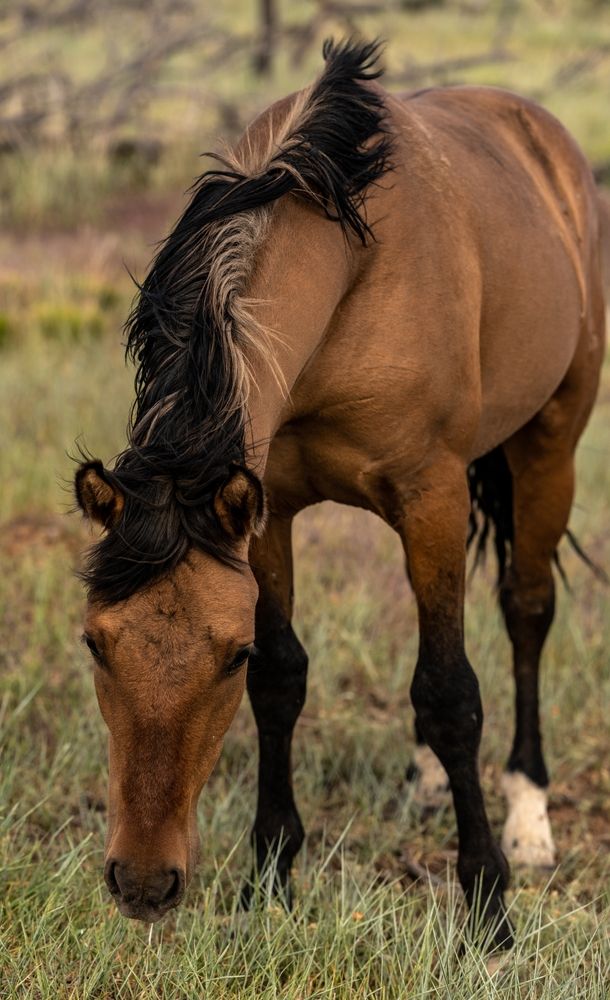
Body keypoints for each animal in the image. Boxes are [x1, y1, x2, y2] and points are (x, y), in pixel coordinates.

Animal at [74, 40, 606, 951]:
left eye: (226, 655)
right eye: (95, 643)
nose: (143, 882)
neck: (354, 268)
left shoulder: (430, 495)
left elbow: (451, 694)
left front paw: (488, 903)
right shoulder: (268, 511)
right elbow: (287, 679)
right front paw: (268, 879)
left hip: (550, 445)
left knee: (525, 609)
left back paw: (529, 816)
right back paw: (428, 779)